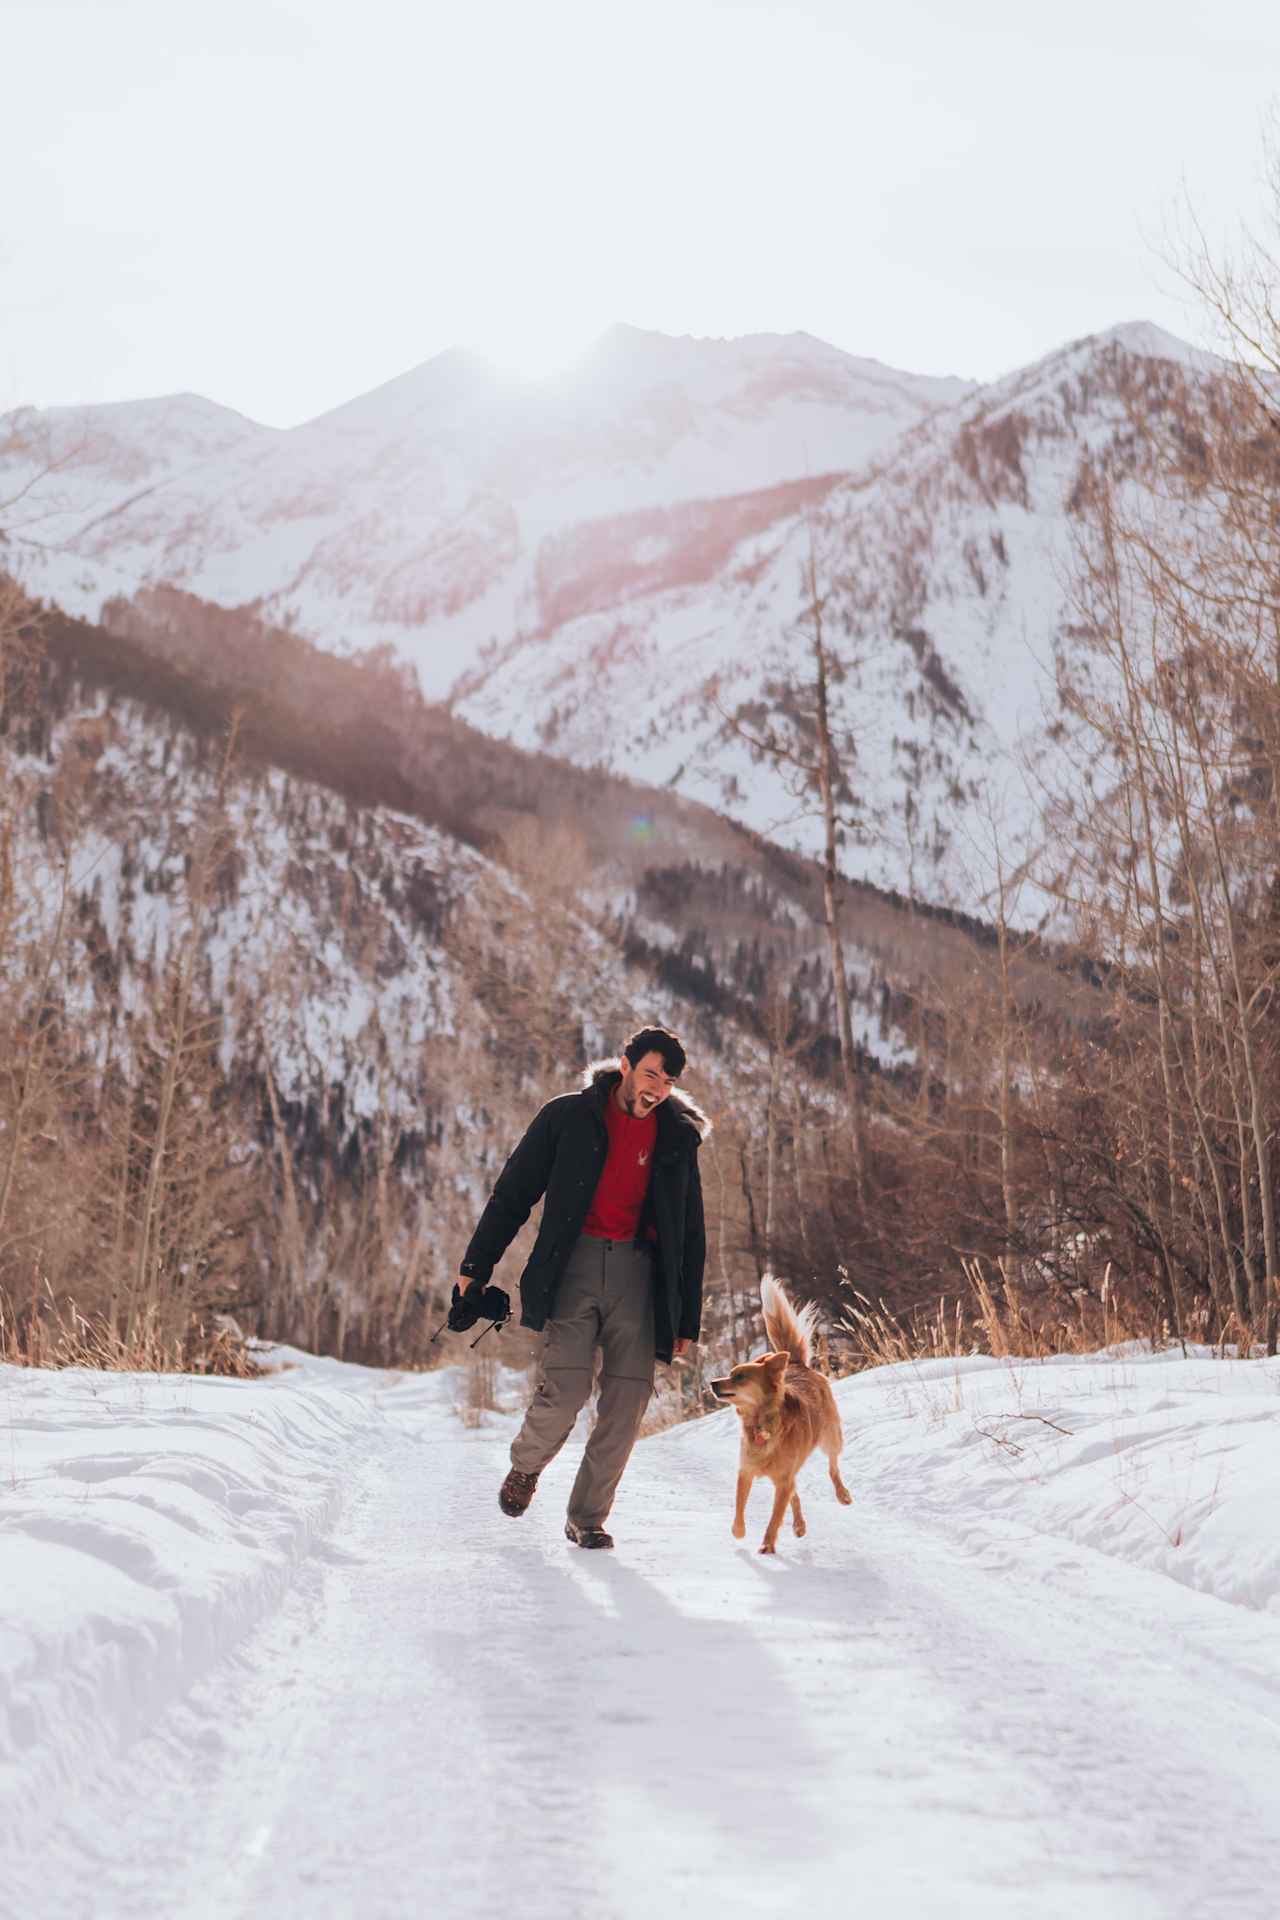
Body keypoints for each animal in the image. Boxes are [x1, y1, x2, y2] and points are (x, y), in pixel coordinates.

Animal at [710, 1274, 852, 1559]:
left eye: (739, 1377)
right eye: (730, 1373)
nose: (712, 1383)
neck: (761, 1423)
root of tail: (796, 1365)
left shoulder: (783, 1480)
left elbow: (775, 1517)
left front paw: (767, 1545)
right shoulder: (746, 1471)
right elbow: (739, 1507)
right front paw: (738, 1531)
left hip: (830, 1436)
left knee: (833, 1466)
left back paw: (842, 1494)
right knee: (796, 1495)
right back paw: (799, 1525)